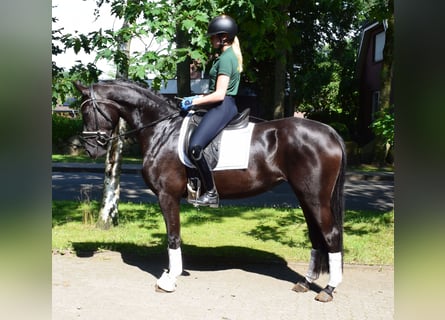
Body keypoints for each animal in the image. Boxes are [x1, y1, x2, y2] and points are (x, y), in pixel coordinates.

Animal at [75, 80, 346, 302]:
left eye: (87, 111)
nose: (90, 150)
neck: (163, 131)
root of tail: (329, 132)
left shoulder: (167, 196)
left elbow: (173, 236)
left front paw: (169, 279)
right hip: (305, 196)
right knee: (316, 236)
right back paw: (306, 282)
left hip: (315, 197)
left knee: (331, 234)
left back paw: (329, 289)